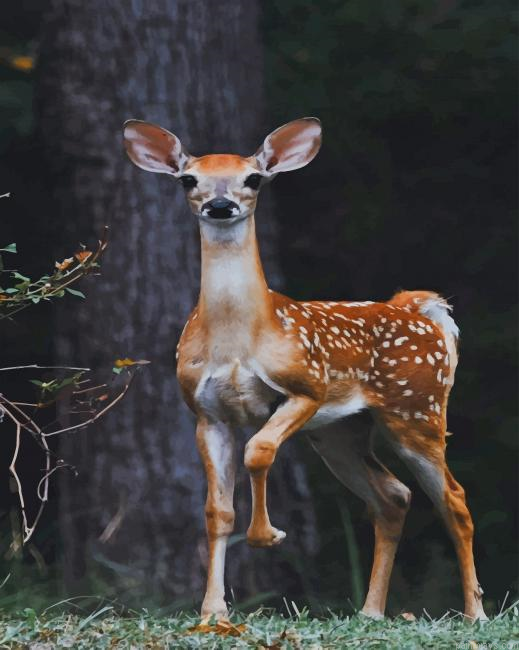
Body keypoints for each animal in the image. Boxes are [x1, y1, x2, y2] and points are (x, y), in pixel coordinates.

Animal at [123, 117, 487, 622]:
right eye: (188, 180)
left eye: (254, 178)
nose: (221, 205)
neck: (239, 340)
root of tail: (419, 309)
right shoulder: (206, 412)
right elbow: (217, 512)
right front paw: (213, 611)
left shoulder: (306, 387)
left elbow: (259, 451)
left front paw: (267, 535)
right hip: (340, 432)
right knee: (393, 497)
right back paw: (370, 611)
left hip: (417, 410)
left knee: (454, 499)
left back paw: (475, 613)